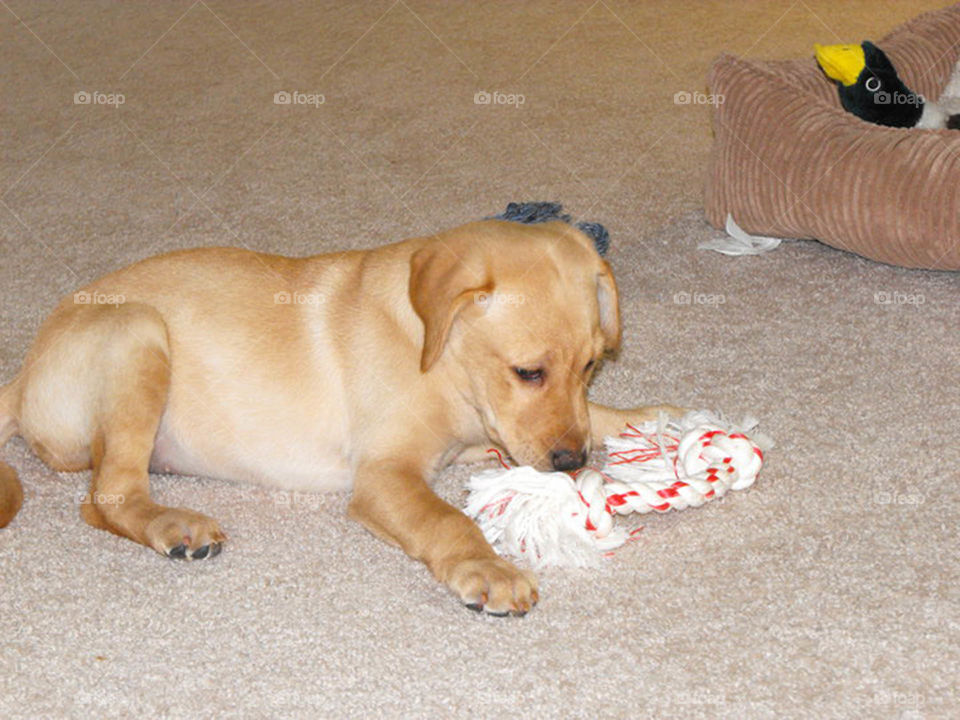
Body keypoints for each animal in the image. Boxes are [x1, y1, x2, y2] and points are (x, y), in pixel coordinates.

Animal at [0, 219, 680, 612]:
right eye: (527, 372)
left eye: (591, 365)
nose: (570, 464)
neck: (436, 349)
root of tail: (24, 375)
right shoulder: (384, 475)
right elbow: (446, 520)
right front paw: (487, 568)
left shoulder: (484, 432)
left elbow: (595, 414)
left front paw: (655, 419)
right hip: (138, 331)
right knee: (106, 496)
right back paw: (176, 525)